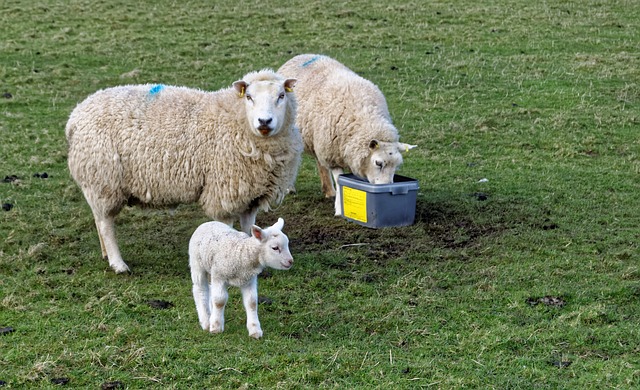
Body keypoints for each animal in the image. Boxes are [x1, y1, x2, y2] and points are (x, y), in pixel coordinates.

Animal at [66, 68, 302, 272]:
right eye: (249, 97)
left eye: (281, 96)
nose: (264, 121)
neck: (236, 120)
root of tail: (75, 115)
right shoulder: (223, 193)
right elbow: (225, 226)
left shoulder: (250, 193)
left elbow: (249, 228)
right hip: (104, 179)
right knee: (106, 224)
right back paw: (118, 264)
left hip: (97, 183)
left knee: (98, 219)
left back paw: (106, 254)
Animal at [278, 53, 418, 215]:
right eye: (378, 163)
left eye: (397, 165)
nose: (387, 189)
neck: (365, 116)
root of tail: (302, 55)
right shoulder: (333, 154)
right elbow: (340, 180)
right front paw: (340, 209)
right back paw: (289, 188)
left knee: (320, 163)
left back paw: (328, 190)